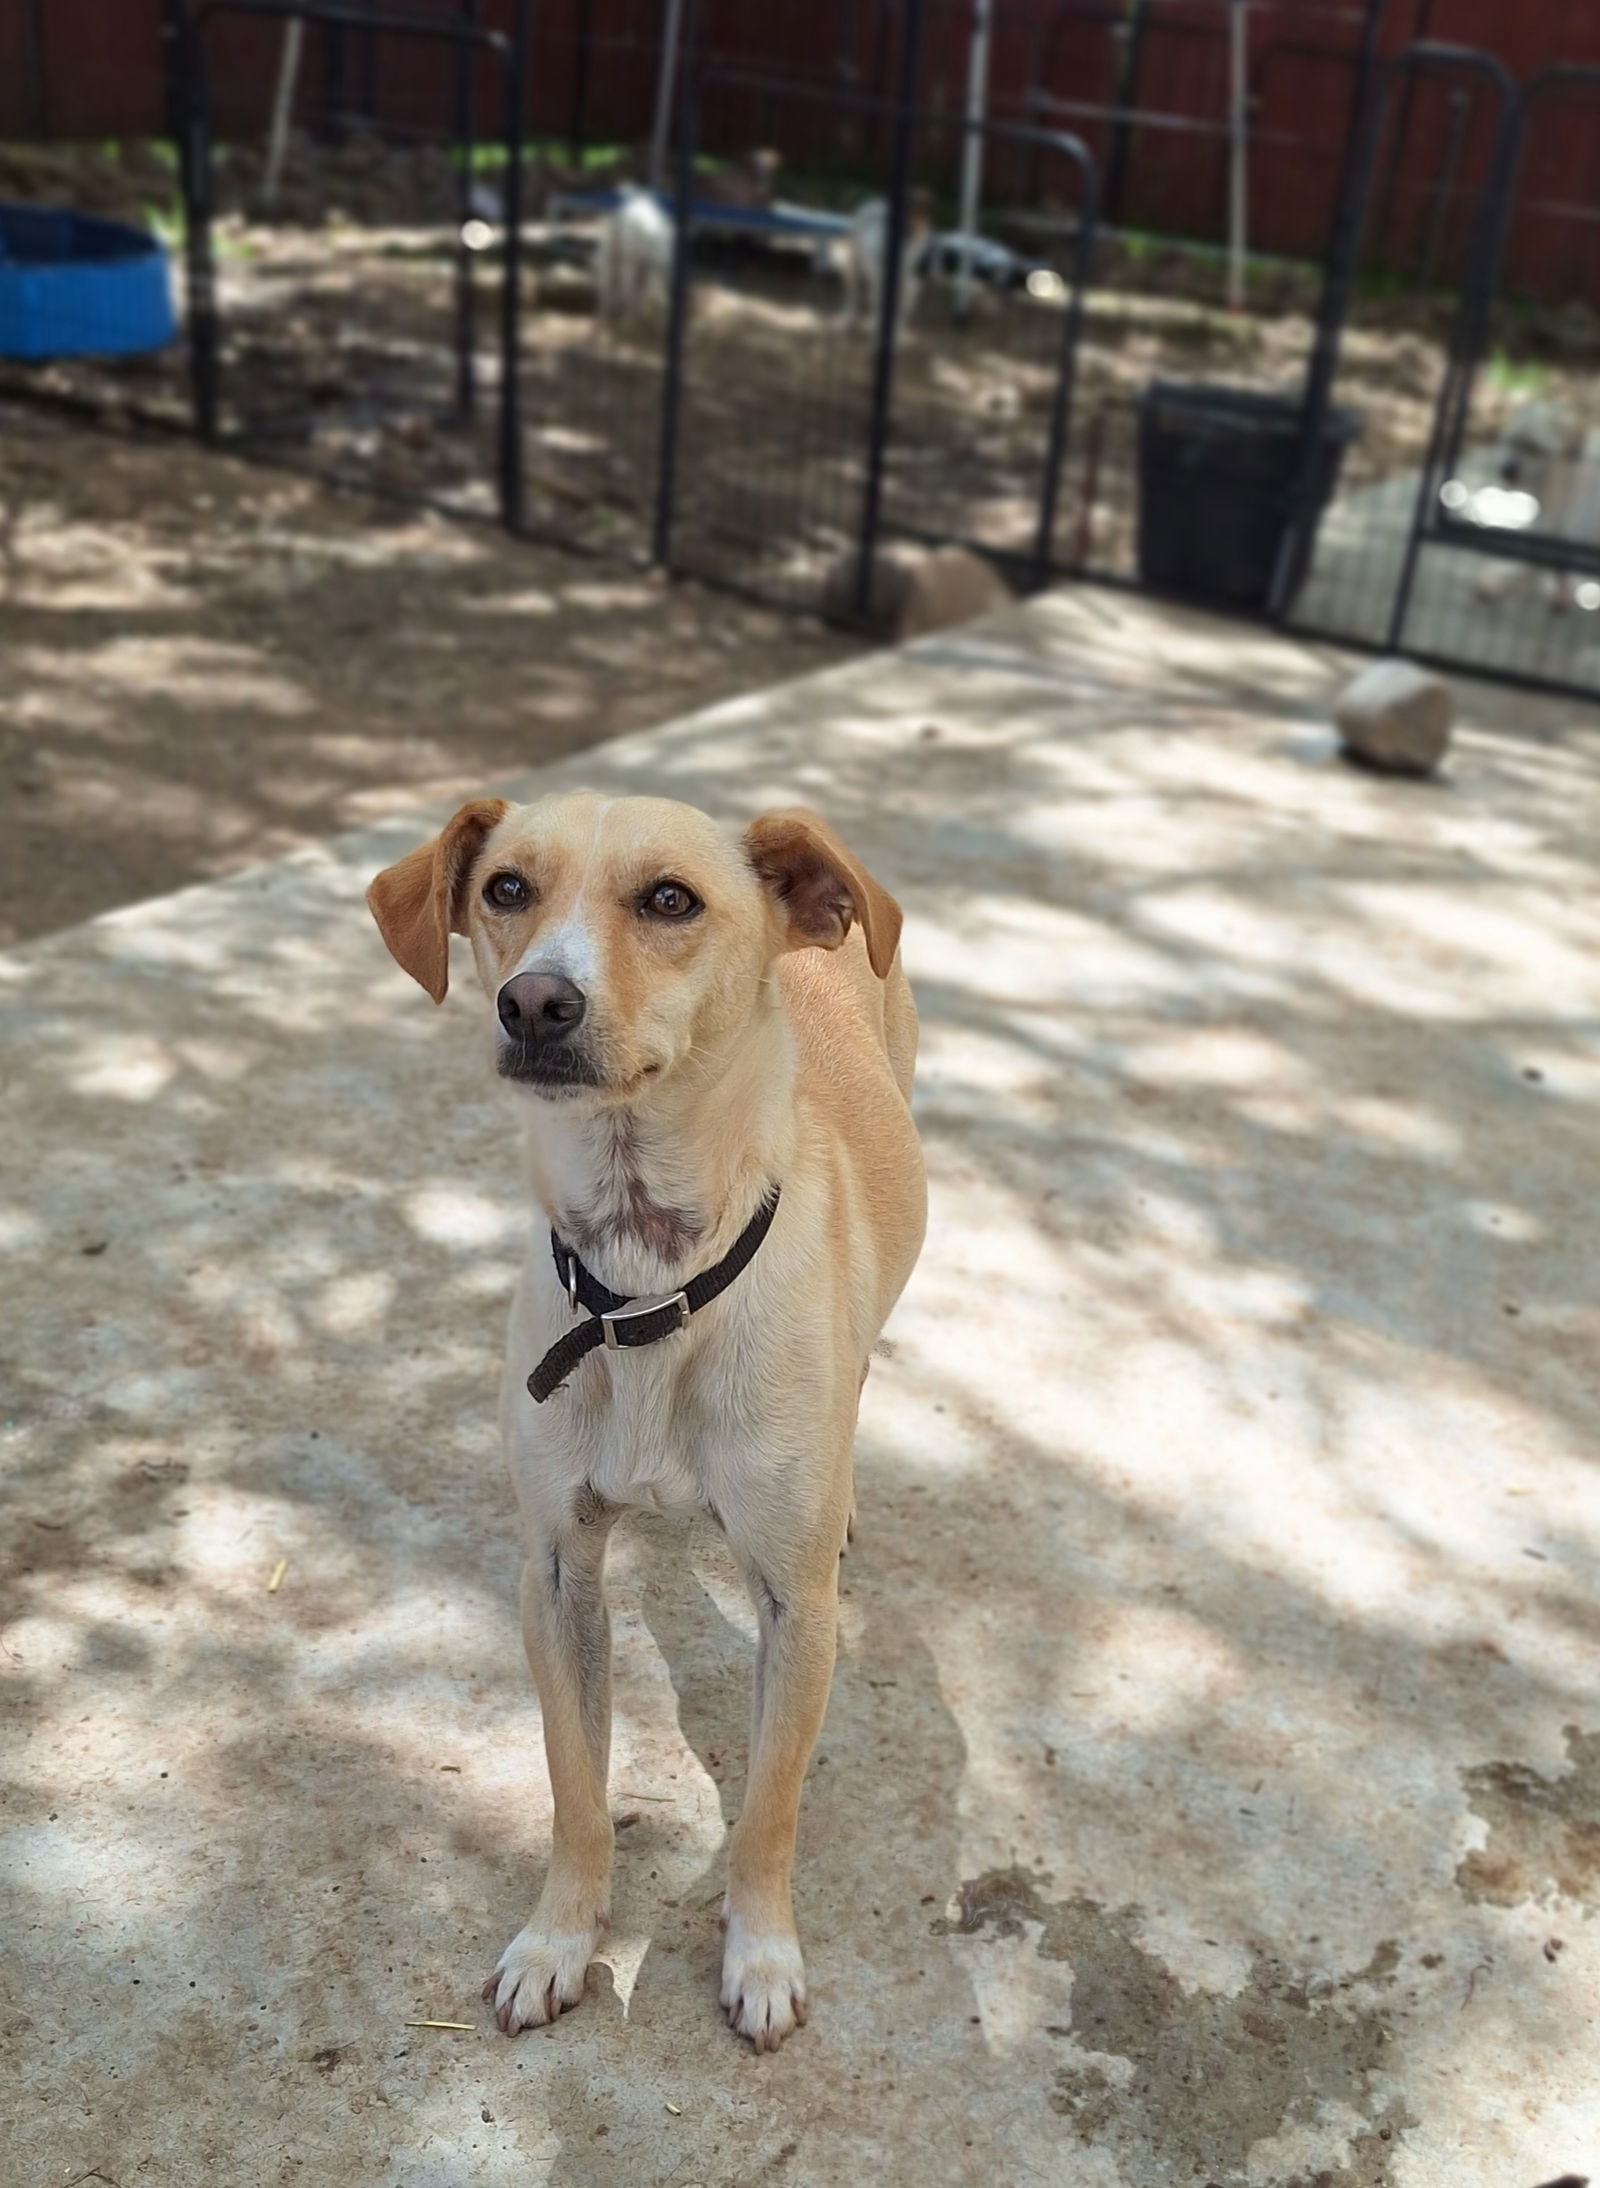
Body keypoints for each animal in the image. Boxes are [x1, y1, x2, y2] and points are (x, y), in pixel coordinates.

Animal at [369, 792, 928, 2047]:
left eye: (670, 899)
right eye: (507, 889)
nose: (535, 1000)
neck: (644, 1284)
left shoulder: (797, 1608)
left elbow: (769, 1808)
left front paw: (760, 1952)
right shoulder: (557, 1571)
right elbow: (576, 1786)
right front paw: (559, 1939)